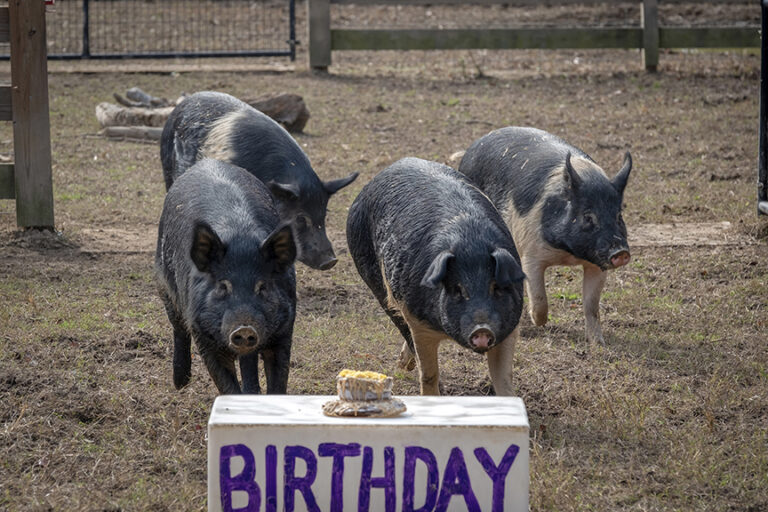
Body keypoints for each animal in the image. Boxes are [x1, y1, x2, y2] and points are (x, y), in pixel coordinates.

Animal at [155, 158, 297, 395]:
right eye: (223, 286)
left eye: (263, 286)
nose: (245, 328)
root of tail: (207, 161)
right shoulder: (203, 334)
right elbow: (225, 383)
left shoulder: (285, 328)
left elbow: (277, 379)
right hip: (163, 283)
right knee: (178, 328)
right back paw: (180, 384)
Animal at [346, 157, 525, 396]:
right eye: (458, 289)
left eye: (495, 287)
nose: (482, 329)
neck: (471, 244)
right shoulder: (419, 323)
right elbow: (429, 373)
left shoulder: (510, 325)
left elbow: (504, 378)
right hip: (371, 275)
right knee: (399, 324)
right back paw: (406, 366)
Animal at [458, 126, 632, 344]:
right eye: (588, 216)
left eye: (619, 216)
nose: (621, 252)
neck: (568, 254)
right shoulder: (531, 253)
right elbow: (539, 295)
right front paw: (539, 321)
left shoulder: (597, 263)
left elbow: (591, 305)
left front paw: (598, 343)